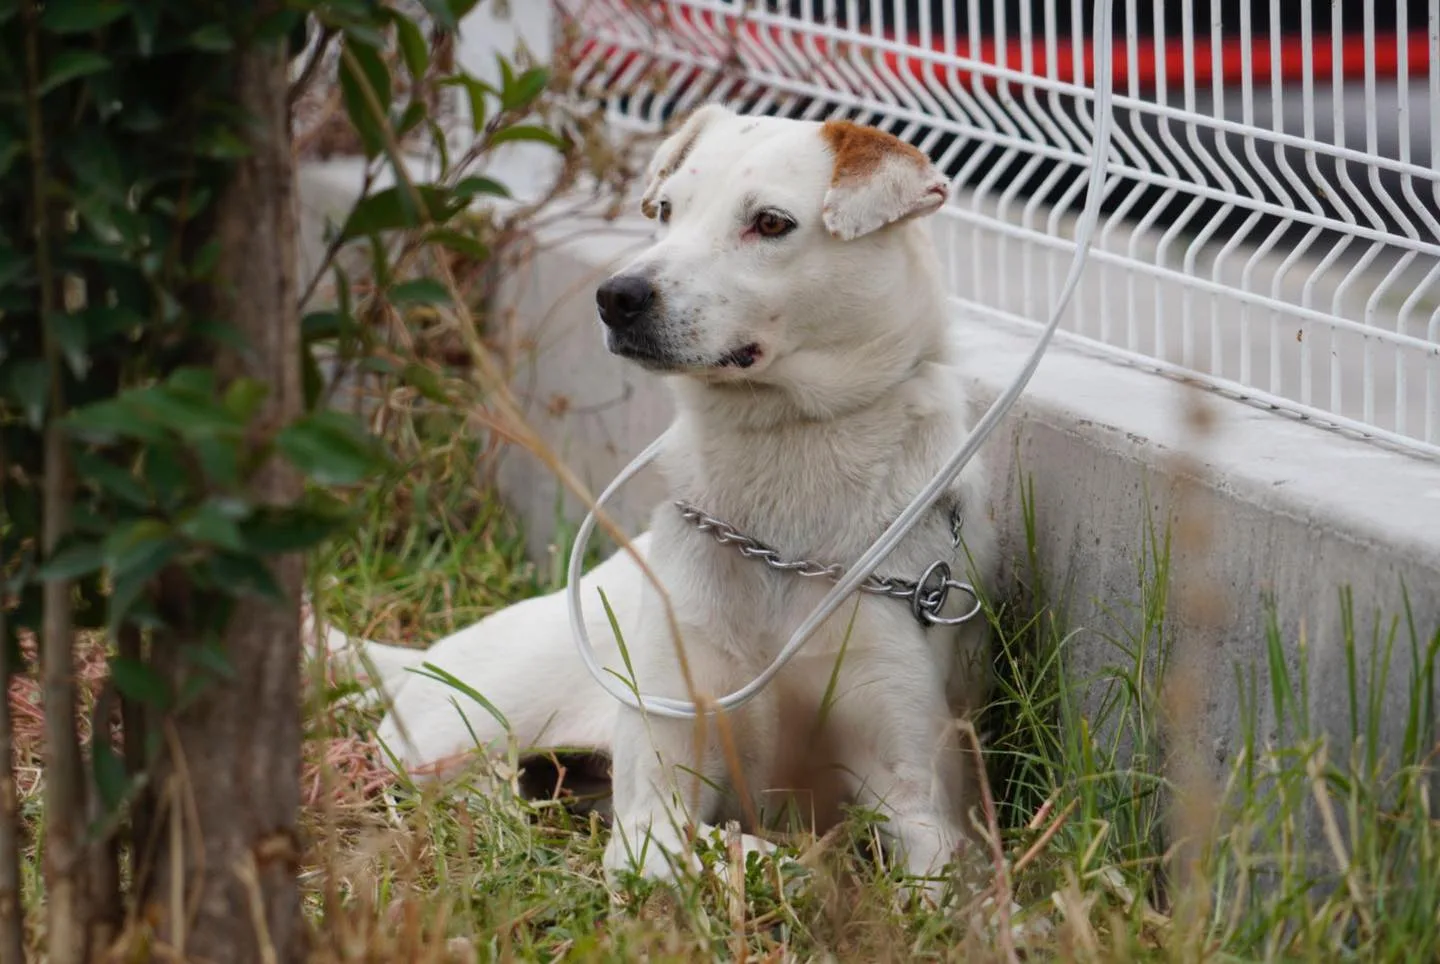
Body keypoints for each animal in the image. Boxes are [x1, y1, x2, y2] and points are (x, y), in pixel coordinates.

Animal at [324, 108, 1002, 899]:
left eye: (770, 223)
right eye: (668, 212)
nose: (617, 294)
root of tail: (420, 657)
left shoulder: (919, 794)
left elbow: (943, 888)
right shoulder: (657, 783)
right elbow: (689, 843)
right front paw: (780, 863)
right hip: (459, 731)